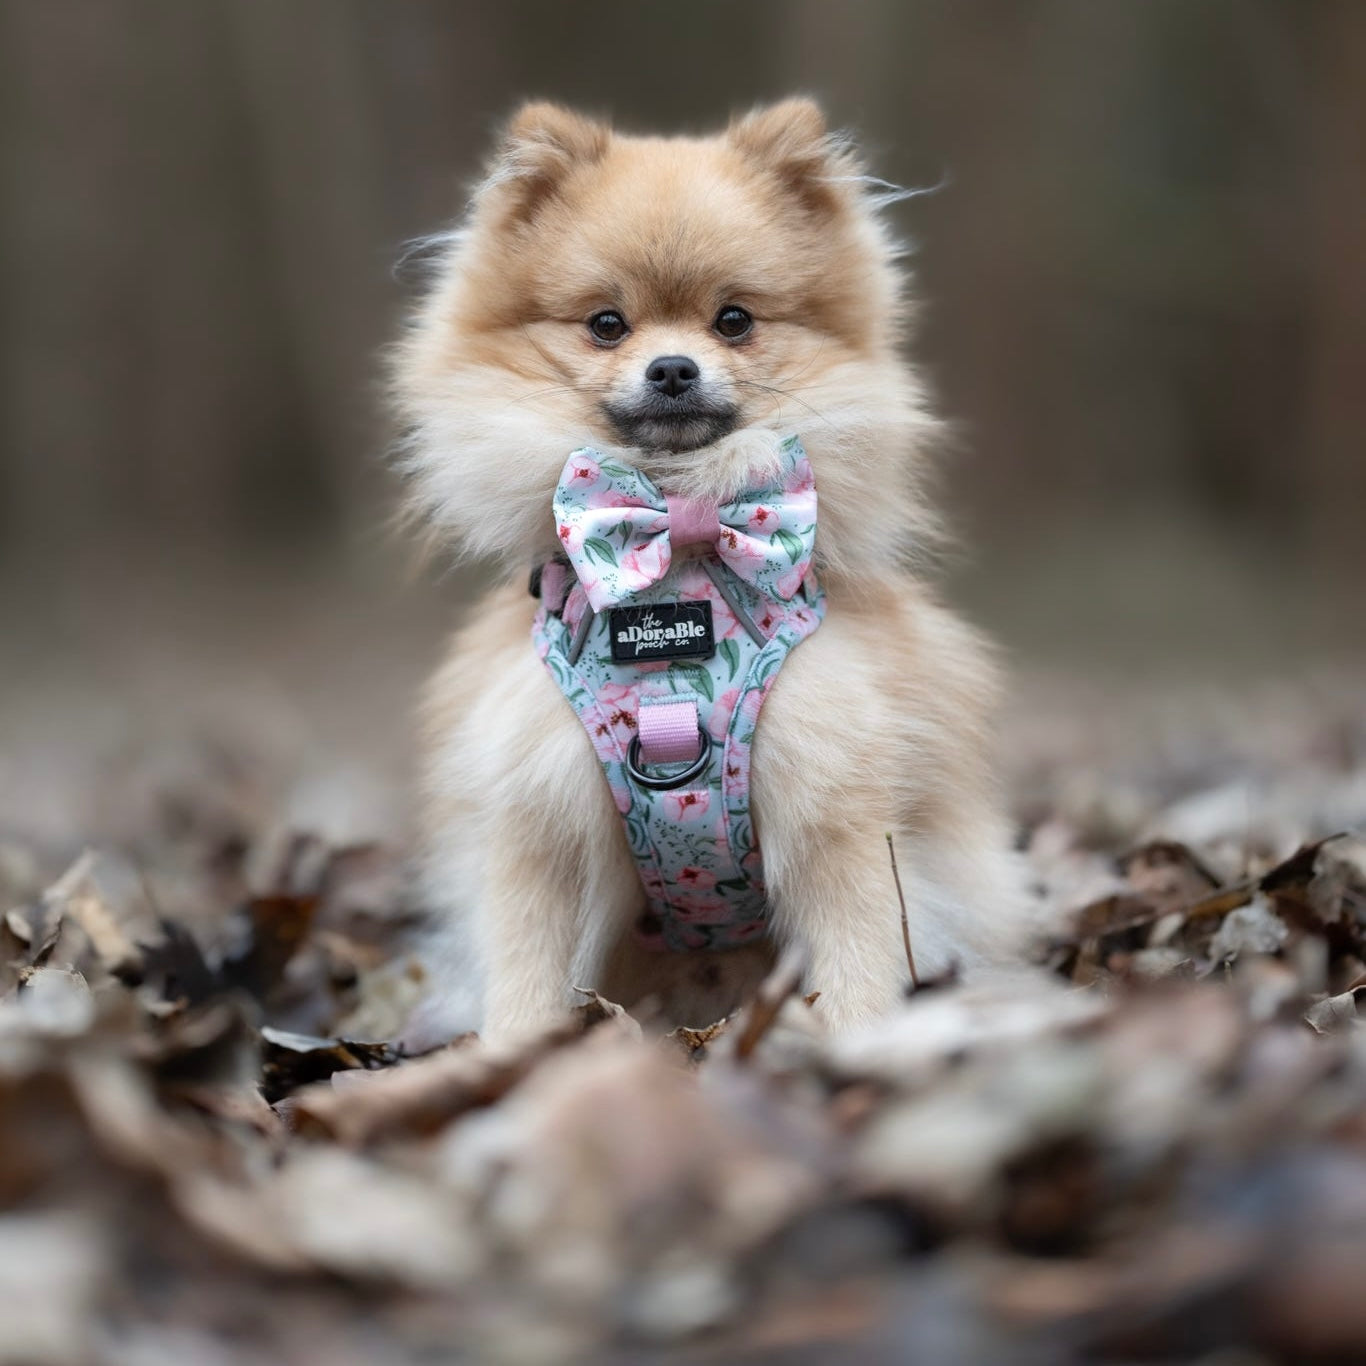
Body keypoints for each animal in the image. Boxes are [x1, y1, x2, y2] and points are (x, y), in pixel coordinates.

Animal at [390, 99, 1027, 1043]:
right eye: (606, 324)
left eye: (734, 320)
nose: (672, 367)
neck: (678, 549)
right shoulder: (540, 823)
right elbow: (527, 978)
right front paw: (509, 1058)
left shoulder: (839, 808)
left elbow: (860, 956)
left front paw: (859, 1046)